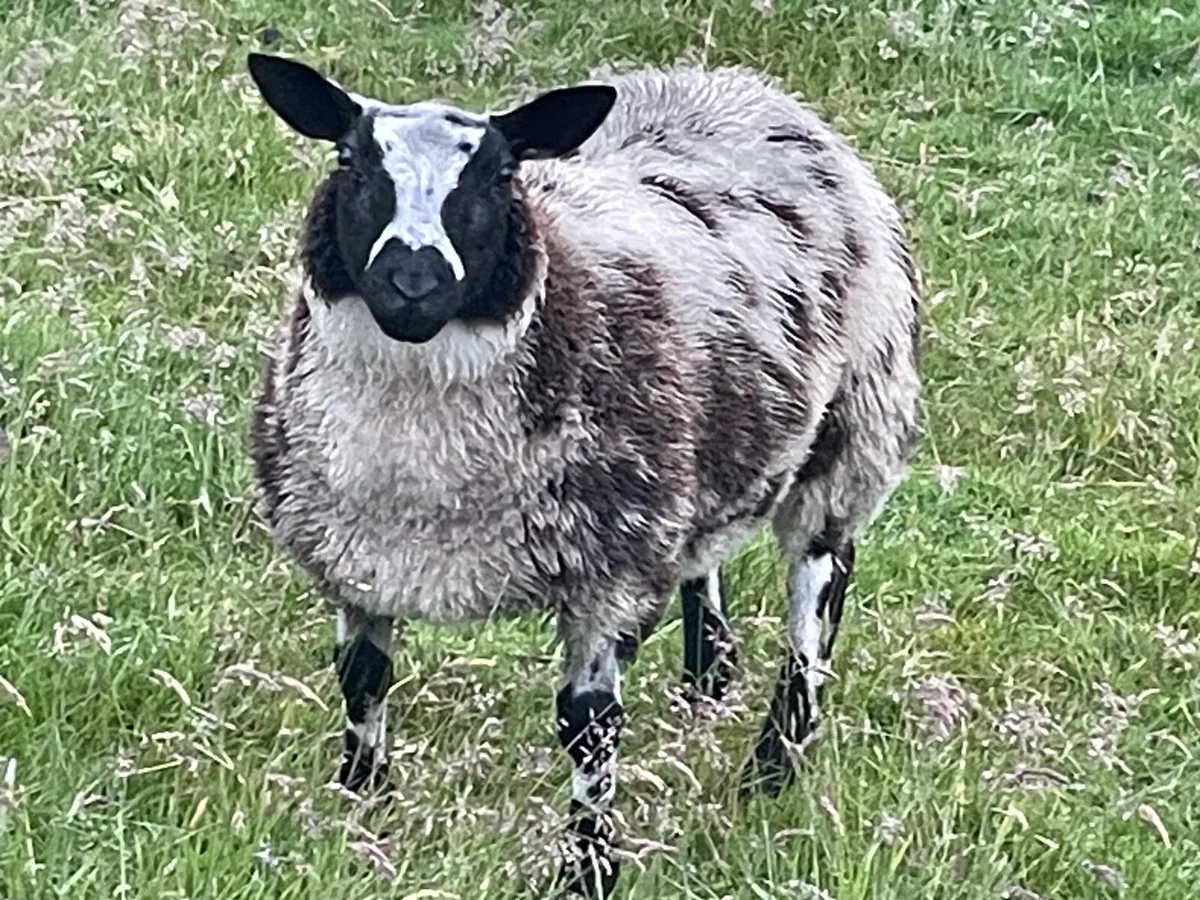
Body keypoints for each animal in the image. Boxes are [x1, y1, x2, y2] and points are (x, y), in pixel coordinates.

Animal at [245, 51, 921, 897]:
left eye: (500, 174)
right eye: (351, 161)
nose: (412, 282)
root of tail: (738, 84)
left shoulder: (612, 577)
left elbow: (589, 729)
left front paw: (589, 868)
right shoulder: (356, 565)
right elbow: (362, 679)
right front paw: (361, 808)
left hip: (852, 427)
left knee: (818, 589)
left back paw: (774, 765)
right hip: (699, 455)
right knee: (705, 554)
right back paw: (708, 682)